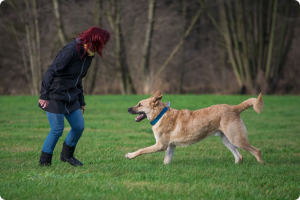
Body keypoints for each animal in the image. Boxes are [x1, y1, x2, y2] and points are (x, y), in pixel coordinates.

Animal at [125, 91, 264, 165]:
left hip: (236, 138)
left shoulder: (161, 145)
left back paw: (262, 165)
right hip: (227, 139)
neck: (160, 114)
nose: (128, 109)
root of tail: (235, 108)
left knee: (257, 151)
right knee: (239, 156)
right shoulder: (170, 147)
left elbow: (141, 150)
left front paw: (130, 155)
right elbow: (166, 161)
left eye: (139, 104)